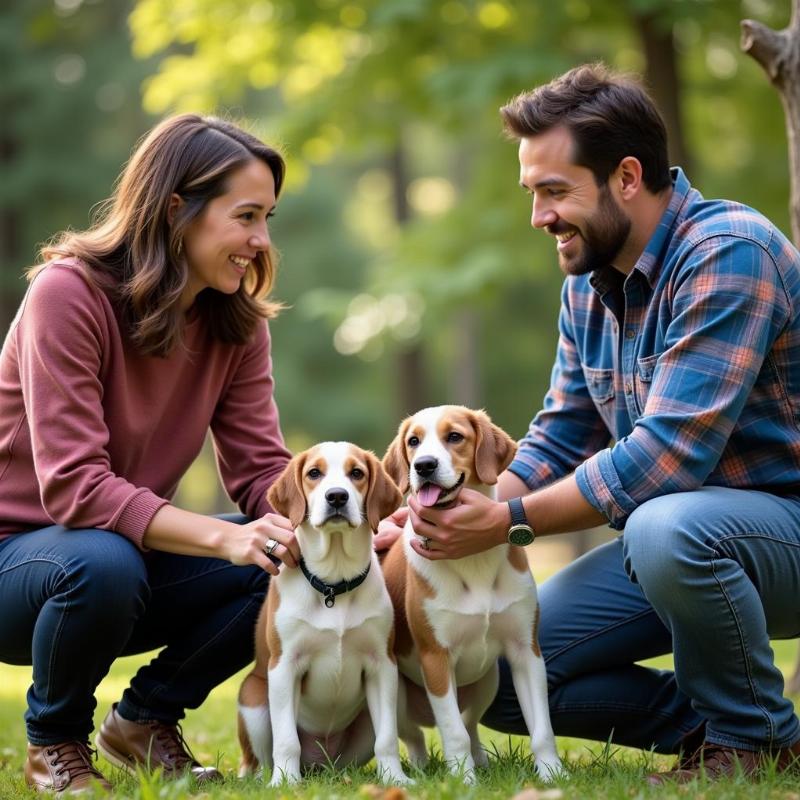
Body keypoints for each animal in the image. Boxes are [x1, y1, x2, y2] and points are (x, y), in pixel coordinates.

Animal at [236, 444, 412, 788]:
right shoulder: (284, 666)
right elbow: (286, 740)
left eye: (356, 473)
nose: (337, 497)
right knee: (255, 761)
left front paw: (395, 779)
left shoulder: (382, 666)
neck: (334, 583)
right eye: (314, 473)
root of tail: (320, 763)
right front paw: (285, 783)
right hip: (253, 701)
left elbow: (387, 738)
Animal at [382, 406, 564, 780]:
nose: (423, 465)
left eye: (454, 437)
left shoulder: (526, 652)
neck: (473, 560)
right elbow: (453, 734)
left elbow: (542, 730)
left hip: (488, 680)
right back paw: (422, 768)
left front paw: (554, 774)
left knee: (470, 724)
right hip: (397, 695)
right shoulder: (436, 659)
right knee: (416, 735)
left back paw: (480, 760)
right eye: (413, 441)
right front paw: (463, 781)